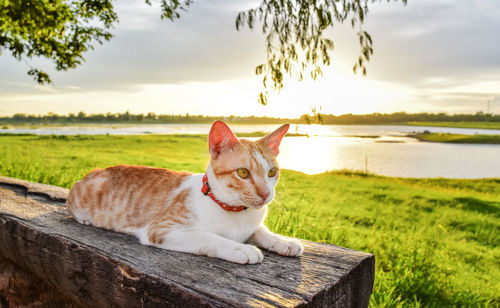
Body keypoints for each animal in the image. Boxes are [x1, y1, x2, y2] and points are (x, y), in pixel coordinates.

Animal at [66, 121, 300, 264]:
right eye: (243, 173)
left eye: (272, 172)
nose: (265, 194)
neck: (237, 212)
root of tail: (96, 171)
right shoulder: (162, 229)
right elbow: (208, 236)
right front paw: (240, 248)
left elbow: (261, 231)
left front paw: (283, 241)